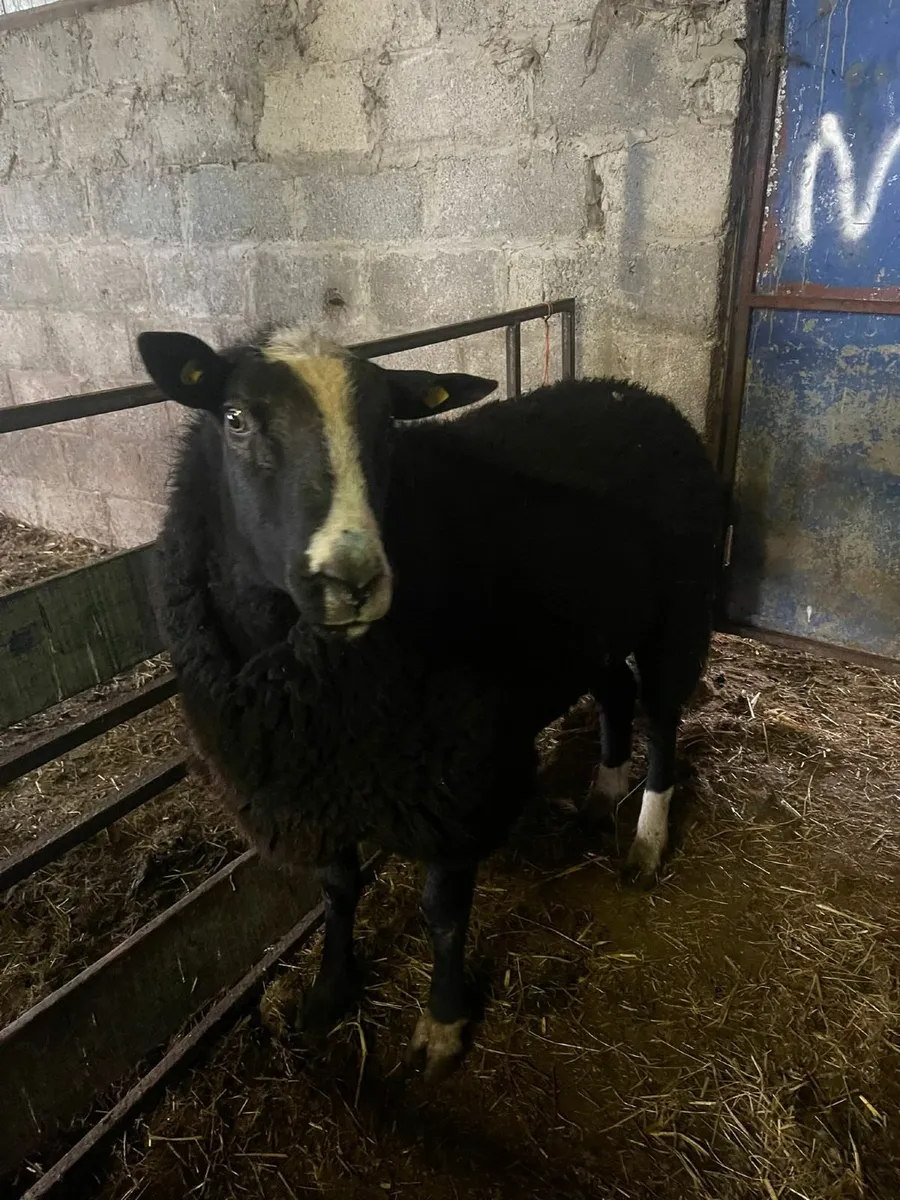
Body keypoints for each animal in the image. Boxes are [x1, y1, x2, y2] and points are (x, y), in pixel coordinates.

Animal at [137, 326, 723, 1082]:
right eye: (235, 419)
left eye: (388, 425)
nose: (352, 581)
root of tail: (635, 391)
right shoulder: (311, 783)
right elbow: (337, 890)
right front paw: (329, 994)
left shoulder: (454, 773)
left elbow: (443, 912)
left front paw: (443, 1024)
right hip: (595, 625)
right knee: (619, 697)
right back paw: (599, 799)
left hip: (680, 605)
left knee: (662, 721)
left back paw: (646, 842)